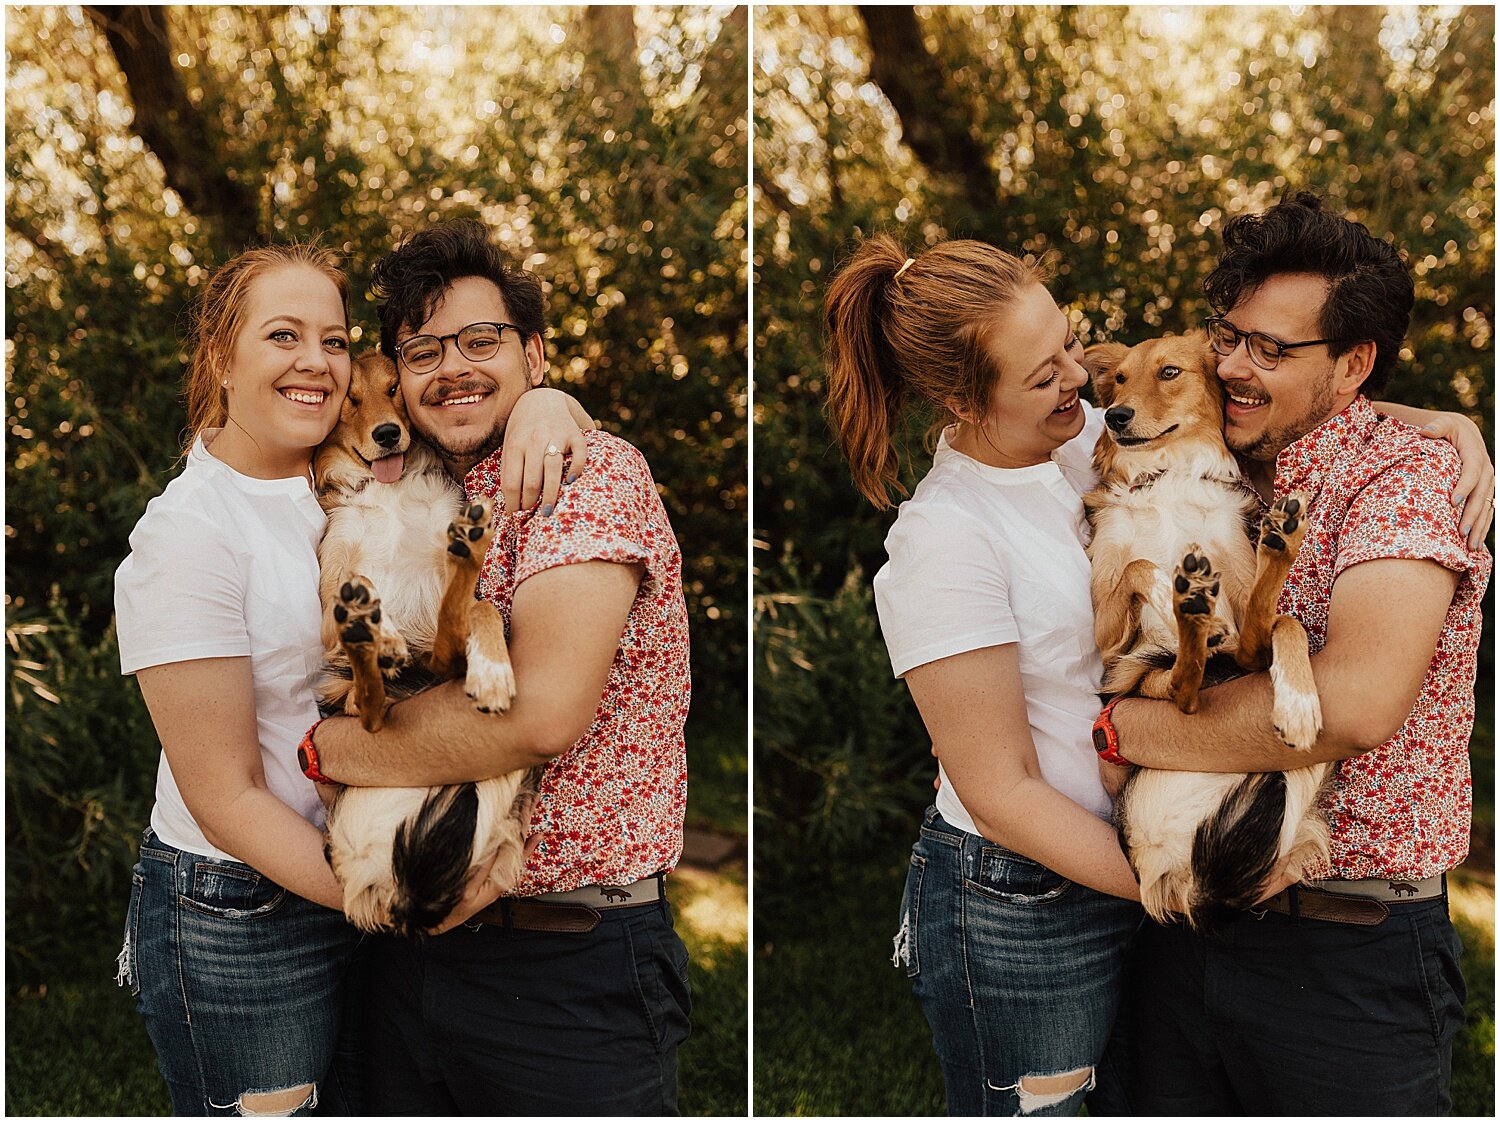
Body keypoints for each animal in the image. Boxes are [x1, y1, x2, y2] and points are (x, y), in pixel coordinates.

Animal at [307, 351, 537, 936]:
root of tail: (376, 880)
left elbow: (481, 608)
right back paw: (378, 647)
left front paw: (494, 671)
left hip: (434, 659)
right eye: (350, 398)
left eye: (394, 388)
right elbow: (344, 609)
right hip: (348, 686)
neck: (387, 490)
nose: (388, 434)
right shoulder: (329, 592)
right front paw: (377, 627)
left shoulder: (441, 589)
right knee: (366, 706)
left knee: (442, 652)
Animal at [1086, 333, 1332, 930]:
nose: (1113, 415)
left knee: (1228, 658)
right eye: (1119, 379)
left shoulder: (1245, 611)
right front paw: (1179, 596)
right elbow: (1139, 565)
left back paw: (1276, 547)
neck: (1167, 476)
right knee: (1183, 689)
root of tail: (1169, 866)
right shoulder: (1106, 636)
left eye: (1169, 372)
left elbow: (1284, 622)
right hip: (1136, 673)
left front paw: (1299, 705)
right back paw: (1197, 617)